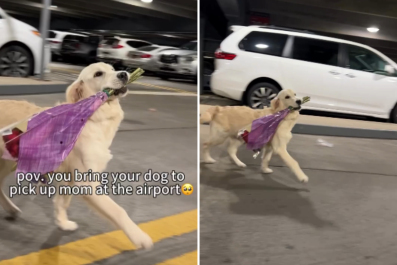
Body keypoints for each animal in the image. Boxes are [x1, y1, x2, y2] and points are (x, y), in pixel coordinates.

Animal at [0, 63, 152, 249]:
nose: (123, 74)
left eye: (112, 68)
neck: (93, 118)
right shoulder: (86, 181)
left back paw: (11, 209)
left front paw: (63, 223)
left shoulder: (70, 177)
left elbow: (62, 202)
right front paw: (139, 236)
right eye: (98, 74)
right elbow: (118, 210)